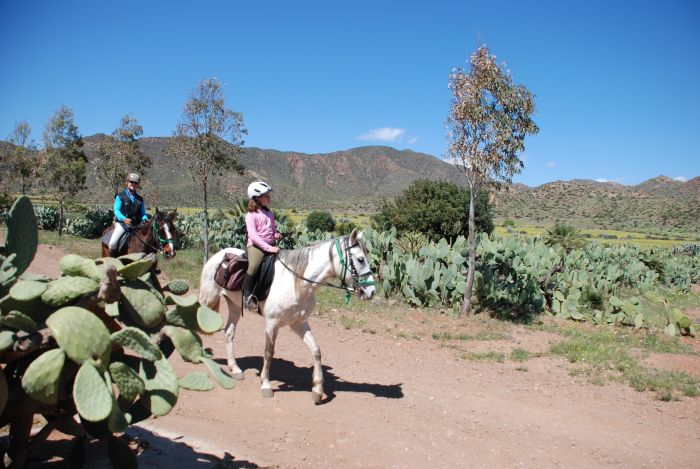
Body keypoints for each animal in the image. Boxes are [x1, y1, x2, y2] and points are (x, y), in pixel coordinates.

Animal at [198, 229, 378, 400]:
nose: (372, 291)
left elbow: (316, 350)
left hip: (234, 306)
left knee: (229, 332)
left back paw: (234, 368)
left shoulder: (299, 322)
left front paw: (317, 390)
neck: (296, 282)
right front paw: (266, 385)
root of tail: (218, 255)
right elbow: (269, 352)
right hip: (207, 298)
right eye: (360, 259)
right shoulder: (272, 323)